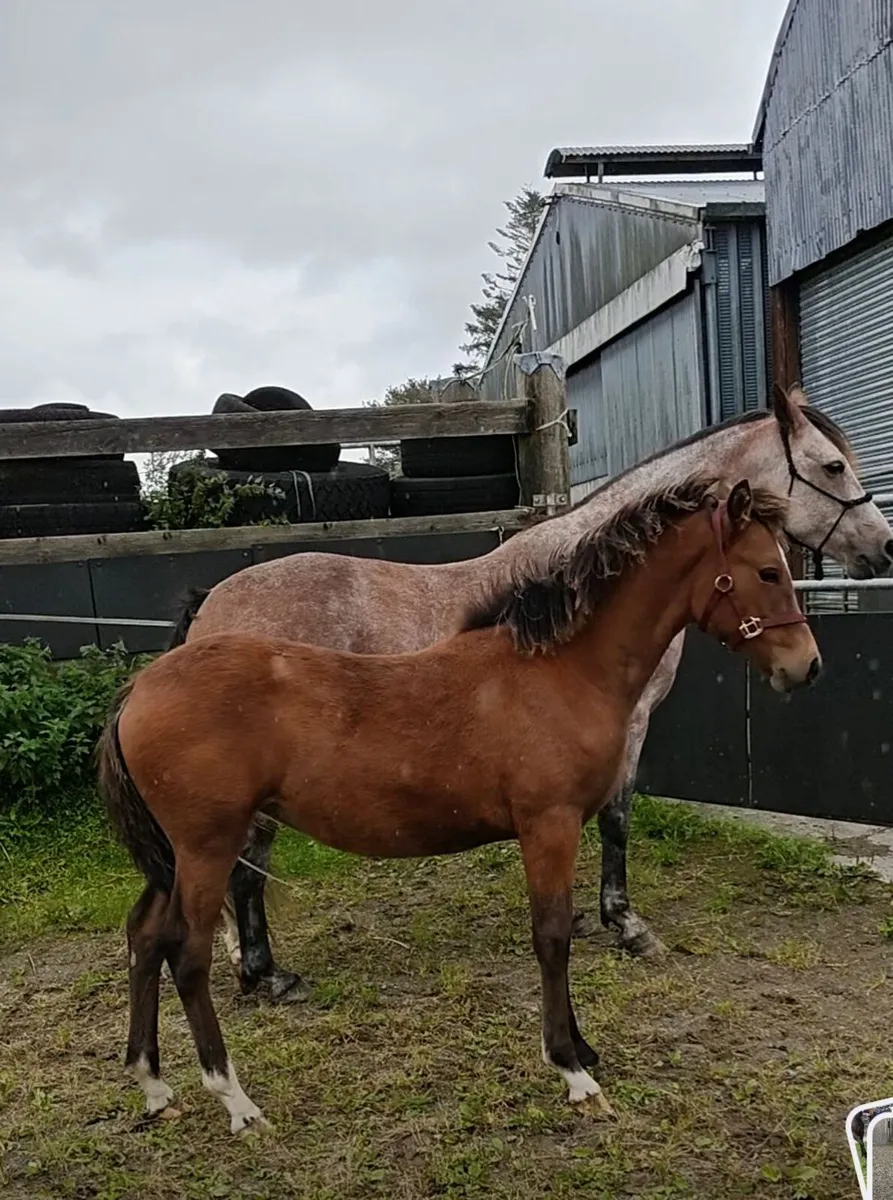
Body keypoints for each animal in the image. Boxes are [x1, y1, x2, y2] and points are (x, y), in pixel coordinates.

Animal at [99, 475, 820, 1133]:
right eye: (767, 570)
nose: (806, 667)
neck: (560, 670)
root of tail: (137, 692)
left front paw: (582, 1048)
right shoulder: (549, 825)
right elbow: (552, 936)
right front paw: (571, 1069)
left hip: (177, 854)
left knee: (144, 934)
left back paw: (152, 1083)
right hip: (208, 845)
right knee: (187, 954)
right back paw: (235, 1099)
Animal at [171, 384, 892, 1004]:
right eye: (832, 465)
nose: (883, 549)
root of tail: (212, 604)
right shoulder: (630, 725)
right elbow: (617, 819)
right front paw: (626, 925)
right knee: (246, 863)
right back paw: (266, 974)